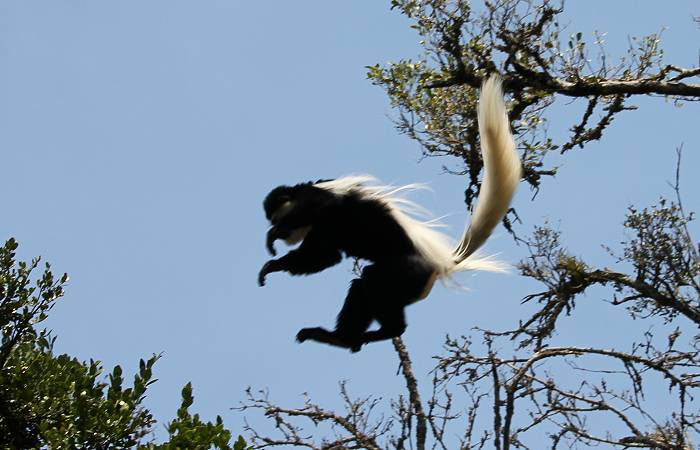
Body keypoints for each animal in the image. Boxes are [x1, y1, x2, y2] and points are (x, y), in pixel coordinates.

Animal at [260, 76, 524, 352]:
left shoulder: (320, 208)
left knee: (372, 279)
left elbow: (320, 241)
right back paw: (341, 338)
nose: (283, 233)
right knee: (361, 288)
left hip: (404, 272)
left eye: (278, 219)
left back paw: (378, 332)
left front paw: (272, 250)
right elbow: (324, 257)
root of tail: (440, 262)